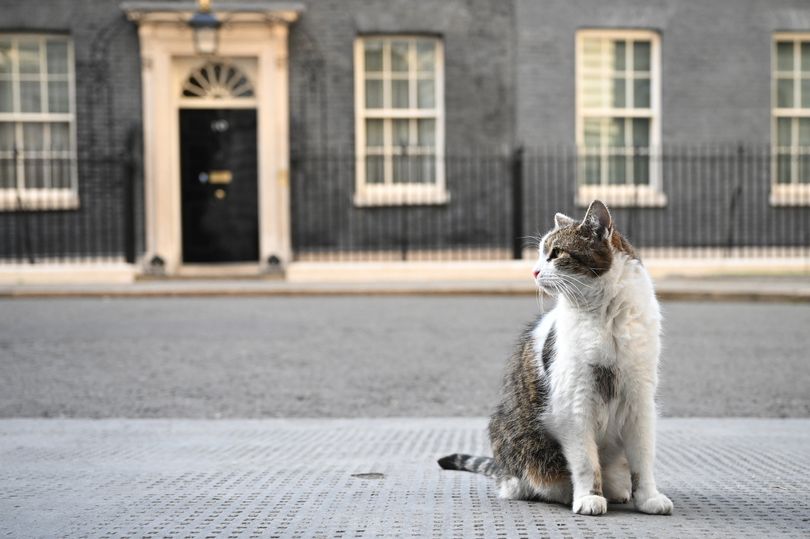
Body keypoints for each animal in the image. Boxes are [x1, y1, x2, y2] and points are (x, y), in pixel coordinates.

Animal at [438, 200, 672, 516]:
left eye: (556, 253)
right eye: (540, 254)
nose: (534, 271)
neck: (605, 316)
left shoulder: (640, 401)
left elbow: (643, 460)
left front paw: (648, 497)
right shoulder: (575, 402)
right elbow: (586, 462)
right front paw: (588, 497)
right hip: (513, 437)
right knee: (523, 481)